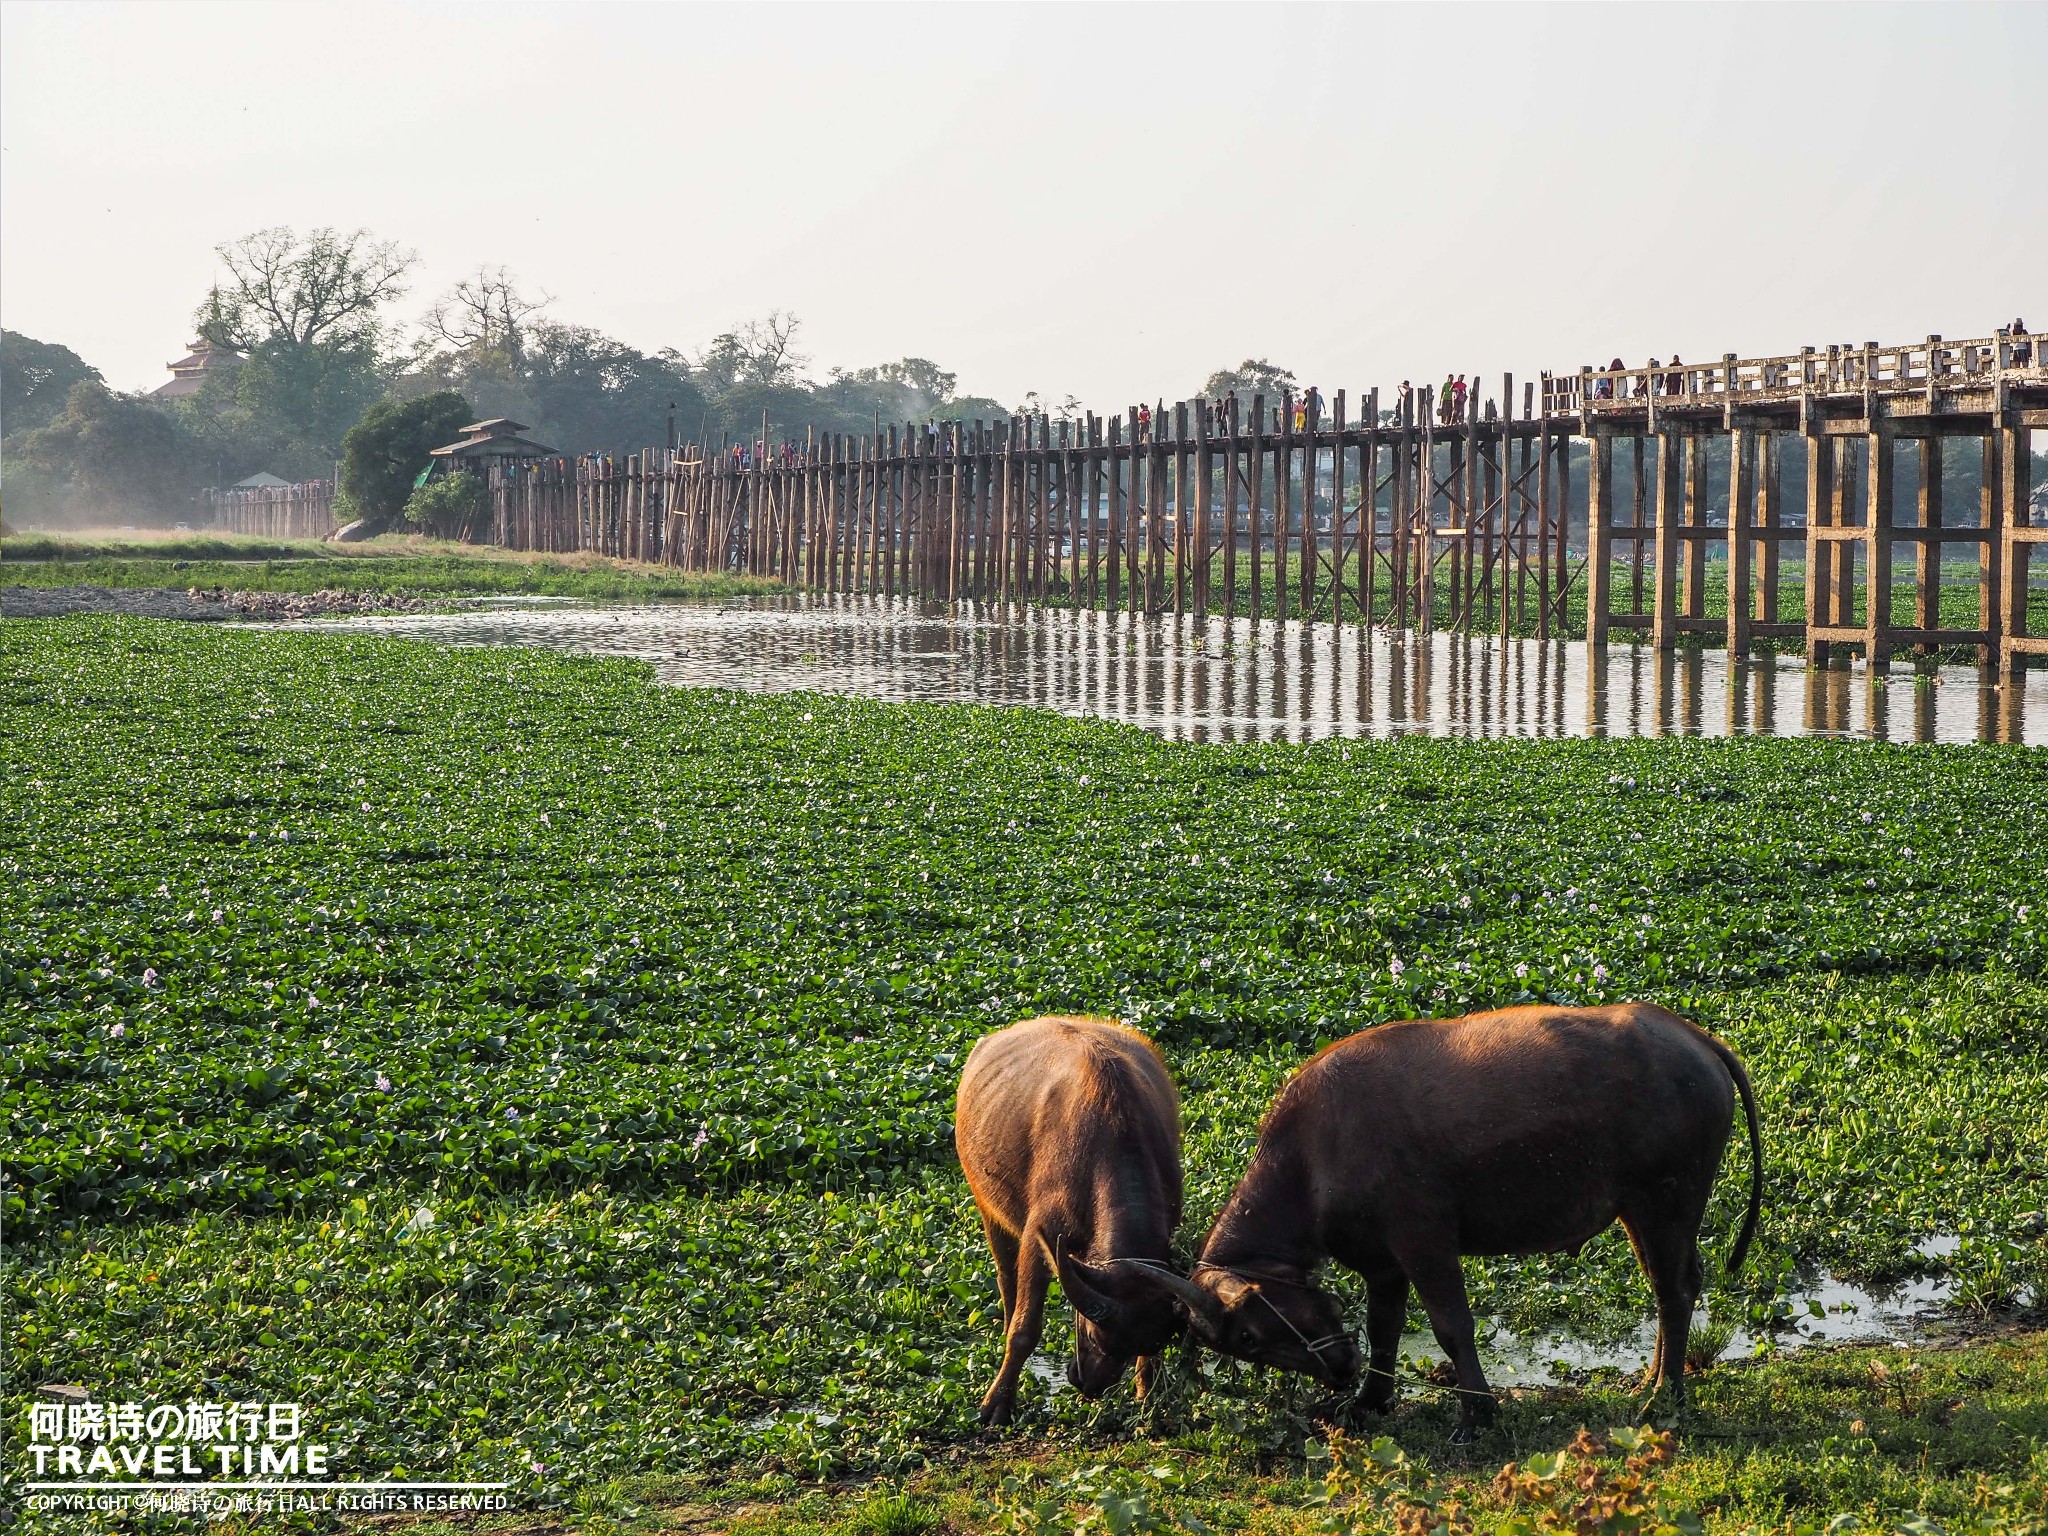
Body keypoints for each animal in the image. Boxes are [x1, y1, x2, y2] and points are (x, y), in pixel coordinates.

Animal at [954, 1024, 1196, 1433]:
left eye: (1142, 1346)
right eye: (1094, 1332)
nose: (1088, 1384)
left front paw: (1148, 1398)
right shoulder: (1039, 1235)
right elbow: (1025, 1329)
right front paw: (997, 1405)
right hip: (987, 1206)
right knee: (1007, 1282)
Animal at [1122, 1003, 1761, 1441]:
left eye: (1248, 1337)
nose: (1338, 1371)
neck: (1315, 1153)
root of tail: (1693, 1037)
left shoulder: (1424, 1242)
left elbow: (1452, 1326)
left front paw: (1475, 1413)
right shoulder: (1381, 1264)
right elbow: (1383, 1329)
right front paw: (1370, 1400)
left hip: (1667, 1202)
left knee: (1674, 1292)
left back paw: (1665, 1398)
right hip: (1639, 1211)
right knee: (1670, 1287)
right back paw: (1651, 1380)